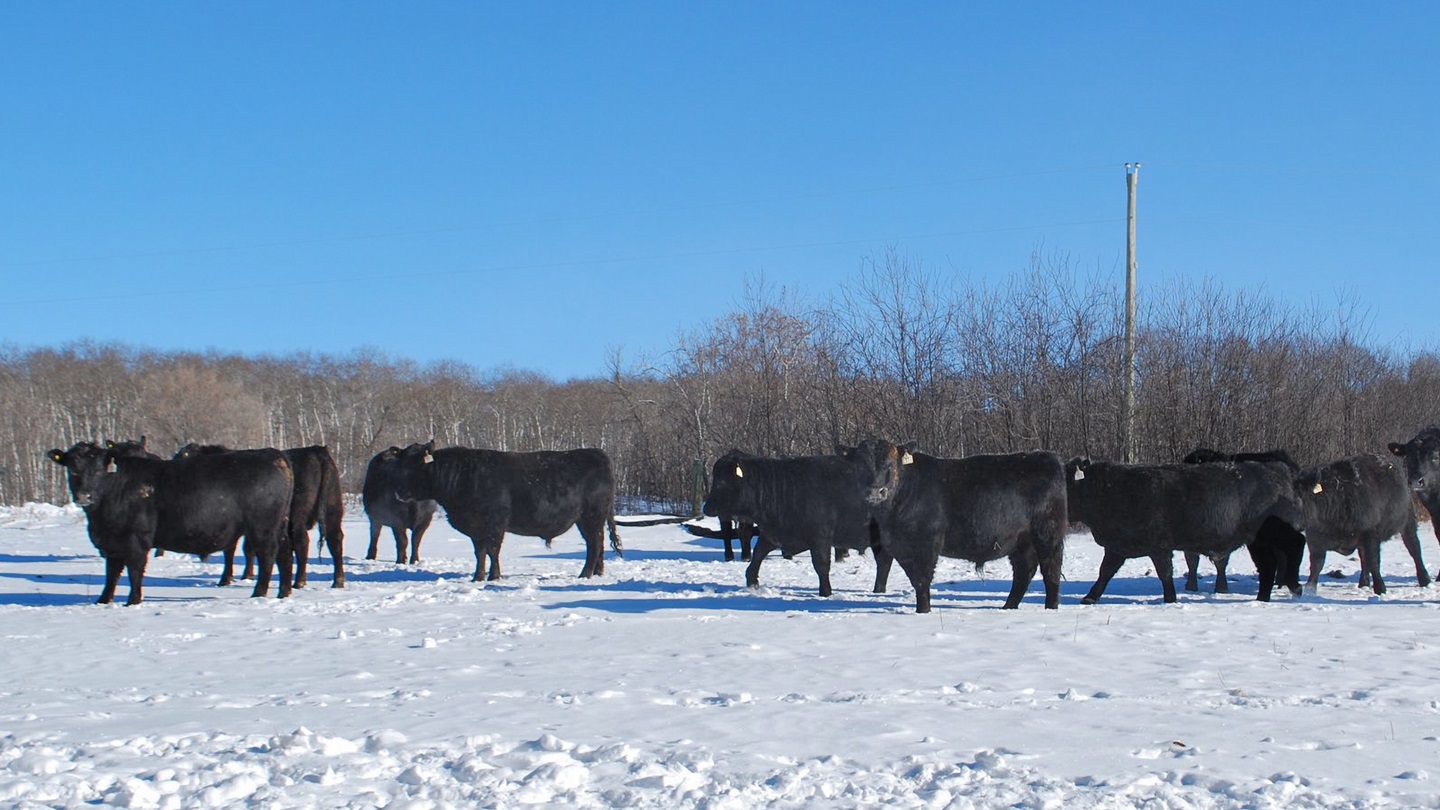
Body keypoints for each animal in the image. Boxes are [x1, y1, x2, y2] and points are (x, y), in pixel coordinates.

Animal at [47, 442, 295, 604]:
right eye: (73, 468)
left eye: (99, 469)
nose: (84, 496)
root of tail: (273, 454)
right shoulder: (113, 544)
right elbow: (112, 575)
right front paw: (103, 601)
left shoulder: (136, 541)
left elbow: (134, 572)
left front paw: (133, 601)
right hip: (279, 525)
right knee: (284, 554)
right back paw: (283, 592)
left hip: (263, 528)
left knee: (268, 557)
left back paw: (259, 594)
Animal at [388, 441, 623, 581]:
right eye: (400, 465)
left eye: (416, 466)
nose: (398, 492)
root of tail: (597, 453)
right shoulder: (476, 528)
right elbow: (480, 552)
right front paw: (478, 577)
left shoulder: (495, 523)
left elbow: (493, 550)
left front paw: (494, 577)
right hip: (591, 519)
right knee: (599, 544)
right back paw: (598, 572)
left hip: (591, 516)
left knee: (594, 544)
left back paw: (585, 574)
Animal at [702, 450, 883, 598]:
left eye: (722, 482)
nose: (706, 507)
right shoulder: (773, 534)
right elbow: (758, 554)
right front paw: (752, 581)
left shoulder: (820, 538)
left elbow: (821, 565)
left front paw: (825, 592)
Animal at [838, 440, 1066, 613]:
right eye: (860, 466)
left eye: (890, 465)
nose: (876, 491)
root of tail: (1048, 457)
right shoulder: (901, 547)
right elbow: (914, 579)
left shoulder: (927, 542)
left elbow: (922, 579)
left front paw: (923, 611)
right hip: (1021, 540)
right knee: (1023, 572)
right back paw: (1008, 607)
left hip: (1047, 533)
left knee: (1051, 570)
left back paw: (1051, 608)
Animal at [1297, 453, 1426, 595]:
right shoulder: (1315, 538)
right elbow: (1316, 565)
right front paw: (1309, 590)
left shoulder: (1370, 534)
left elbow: (1374, 562)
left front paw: (1380, 588)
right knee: (1363, 559)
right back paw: (1363, 583)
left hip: (1408, 523)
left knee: (1414, 548)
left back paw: (1425, 579)